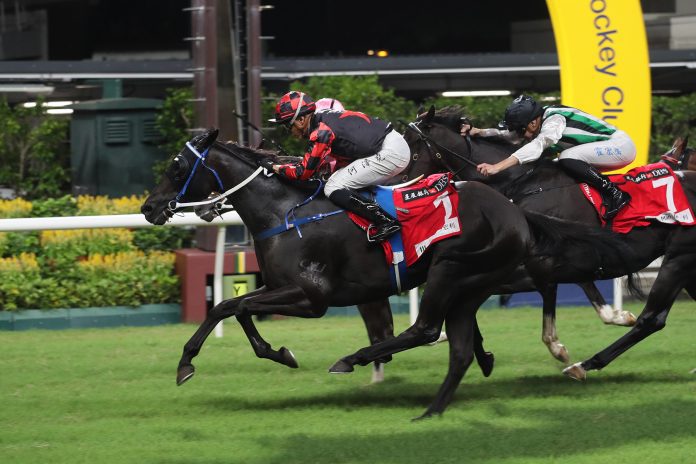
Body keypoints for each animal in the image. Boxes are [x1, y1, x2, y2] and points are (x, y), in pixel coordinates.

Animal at [140, 128, 636, 416]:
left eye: (177, 166)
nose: (149, 208)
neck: (283, 212)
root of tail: (515, 210)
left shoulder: (311, 297)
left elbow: (227, 305)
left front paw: (187, 363)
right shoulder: (285, 288)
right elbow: (237, 308)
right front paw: (278, 352)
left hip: (451, 270)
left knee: (426, 327)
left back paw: (355, 359)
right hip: (473, 279)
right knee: (458, 326)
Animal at [394, 107, 696, 382]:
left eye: (413, 144)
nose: (396, 183)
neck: (522, 185)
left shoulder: (543, 261)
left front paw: (559, 346)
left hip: (678, 258)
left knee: (652, 318)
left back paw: (582, 365)